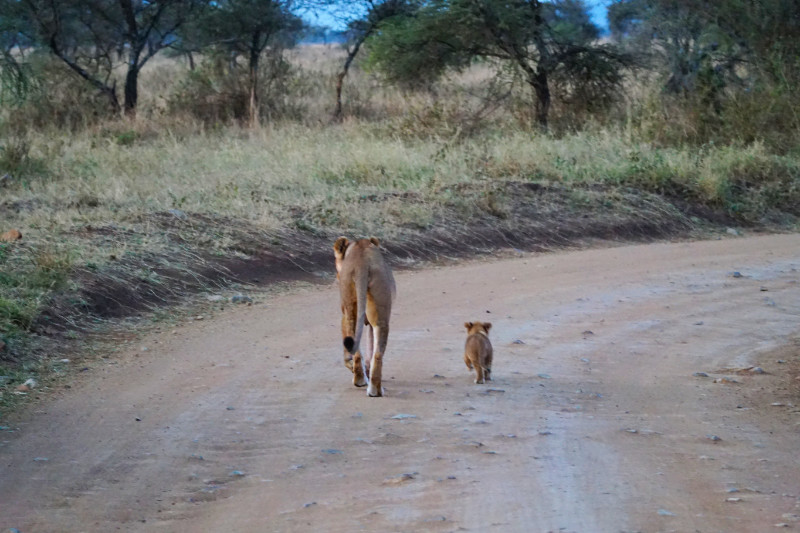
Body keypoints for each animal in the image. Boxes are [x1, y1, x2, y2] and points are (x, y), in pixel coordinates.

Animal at [333, 236, 396, 397]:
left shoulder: (347, 314)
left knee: (358, 349)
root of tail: (361, 263)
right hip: (380, 318)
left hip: (351, 310)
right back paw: (374, 389)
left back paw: (361, 381)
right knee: (377, 354)